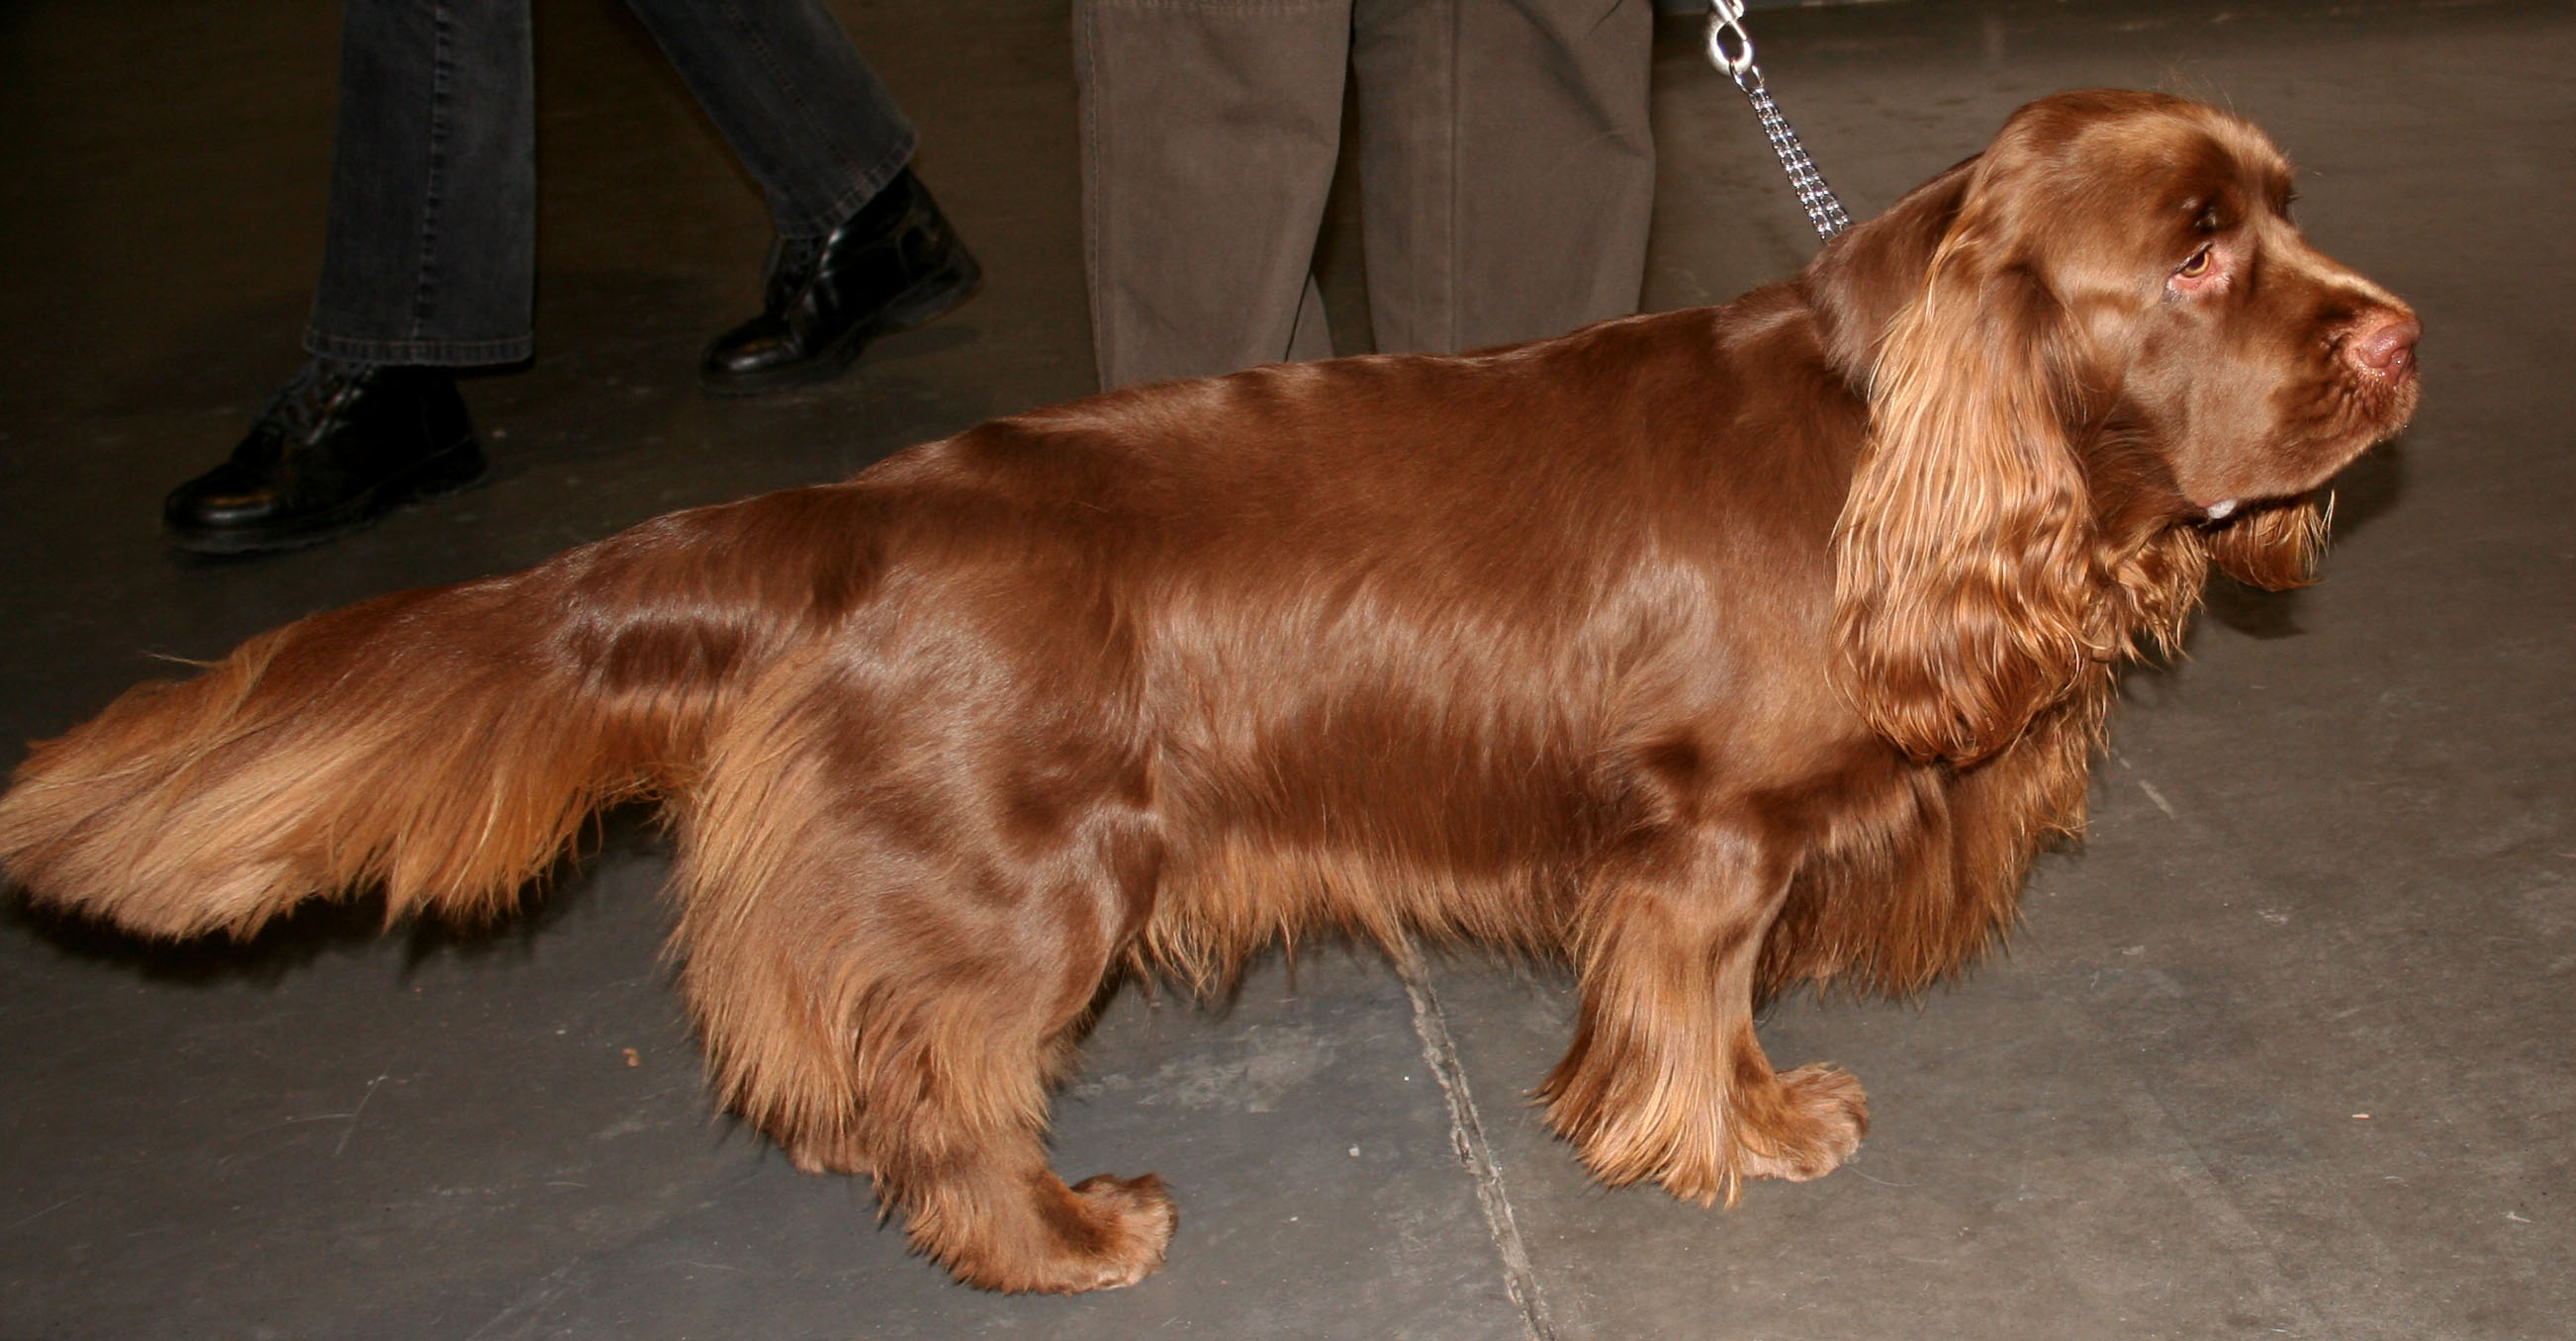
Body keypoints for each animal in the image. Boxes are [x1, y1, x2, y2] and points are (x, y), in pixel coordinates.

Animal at [0, 91, 2411, 1287]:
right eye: (2195, 249)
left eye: (2283, 209)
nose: (2397, 342)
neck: (1880, 438)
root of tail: (848, 514)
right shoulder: (1697, 840)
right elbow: (1688, 1008)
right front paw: (1726, 1137)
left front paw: (1743, 1115)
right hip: (1025, 884)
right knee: (940, 1081)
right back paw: (1066, 1240)